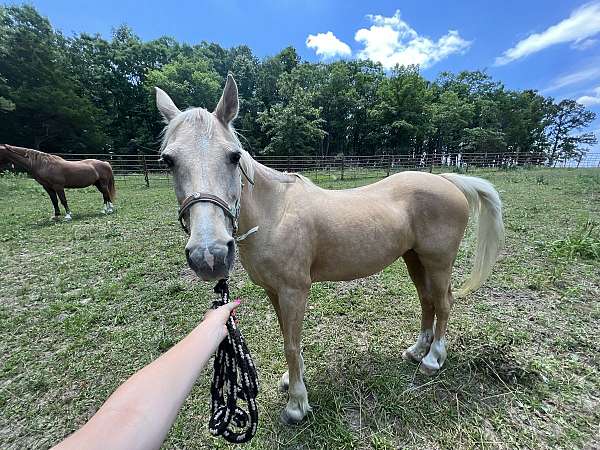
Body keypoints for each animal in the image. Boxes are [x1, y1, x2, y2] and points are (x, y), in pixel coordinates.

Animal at [156, 75, 506, 424]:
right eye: (169, 161)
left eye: (233, 156)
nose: (209, 255)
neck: (275, 213)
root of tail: (447, 180)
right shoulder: (274, 291)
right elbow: (287, 336)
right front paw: (291, 381)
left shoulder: (294, 290)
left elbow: (291, 344)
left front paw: (297, 404)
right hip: (414, 259)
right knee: (427, 301)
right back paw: (417, 351)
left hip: (438, 262)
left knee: (444, 303)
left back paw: (433, 359)